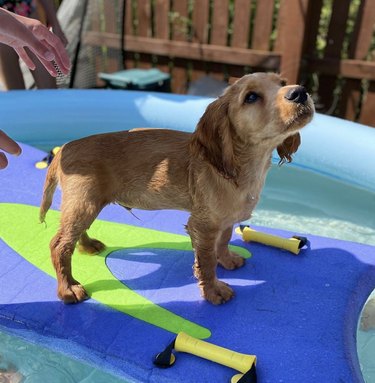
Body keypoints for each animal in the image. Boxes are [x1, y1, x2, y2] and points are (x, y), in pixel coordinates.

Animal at [40, 72, 314, 306]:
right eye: (251, 97)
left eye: (282, 83)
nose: (300, 92)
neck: (241, 167)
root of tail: (64, 149)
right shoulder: (203, 226)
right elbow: (206, 263)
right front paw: (213, 291)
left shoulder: (225, 219)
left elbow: (224, 241)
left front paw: (227, 260)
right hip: (84, 203)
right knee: (59, 244)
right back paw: (68, 288)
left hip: (86, 204)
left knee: (73, 233)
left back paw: (88, 246)